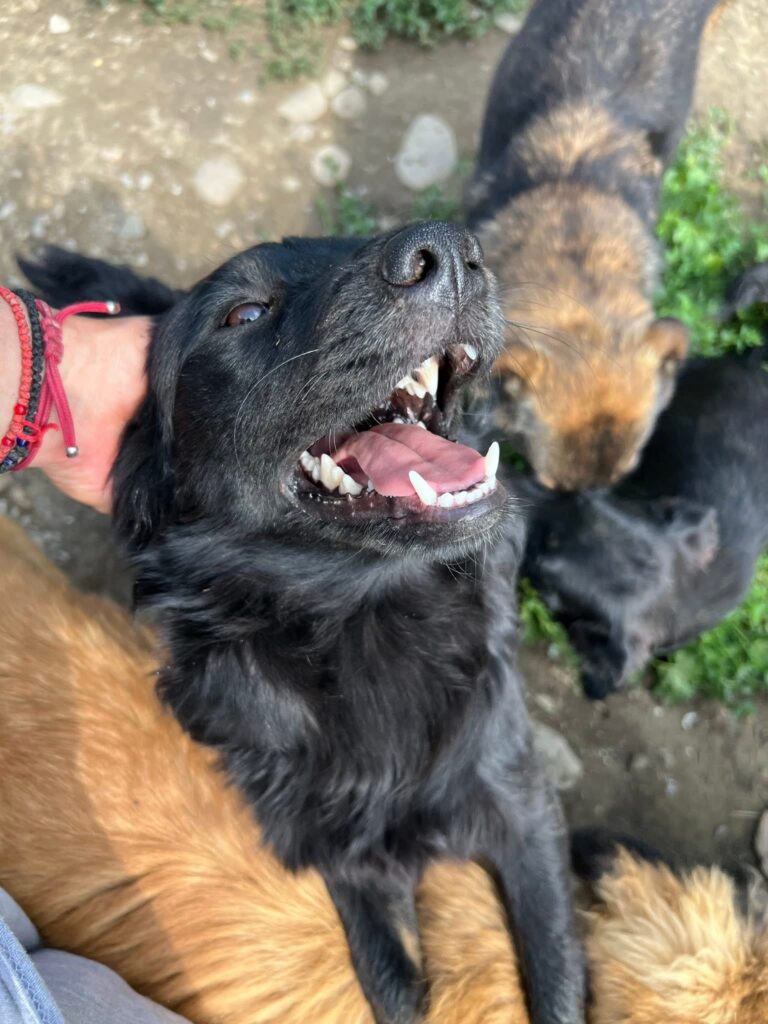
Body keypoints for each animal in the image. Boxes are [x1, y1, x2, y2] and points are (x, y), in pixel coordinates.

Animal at [23, 226, 585, 1024]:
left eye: (359, 239)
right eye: (244, 313)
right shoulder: (337, 852)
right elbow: (389, 985)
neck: (367, 627)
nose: (446, 251)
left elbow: (558, 981)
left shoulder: (523, 806)